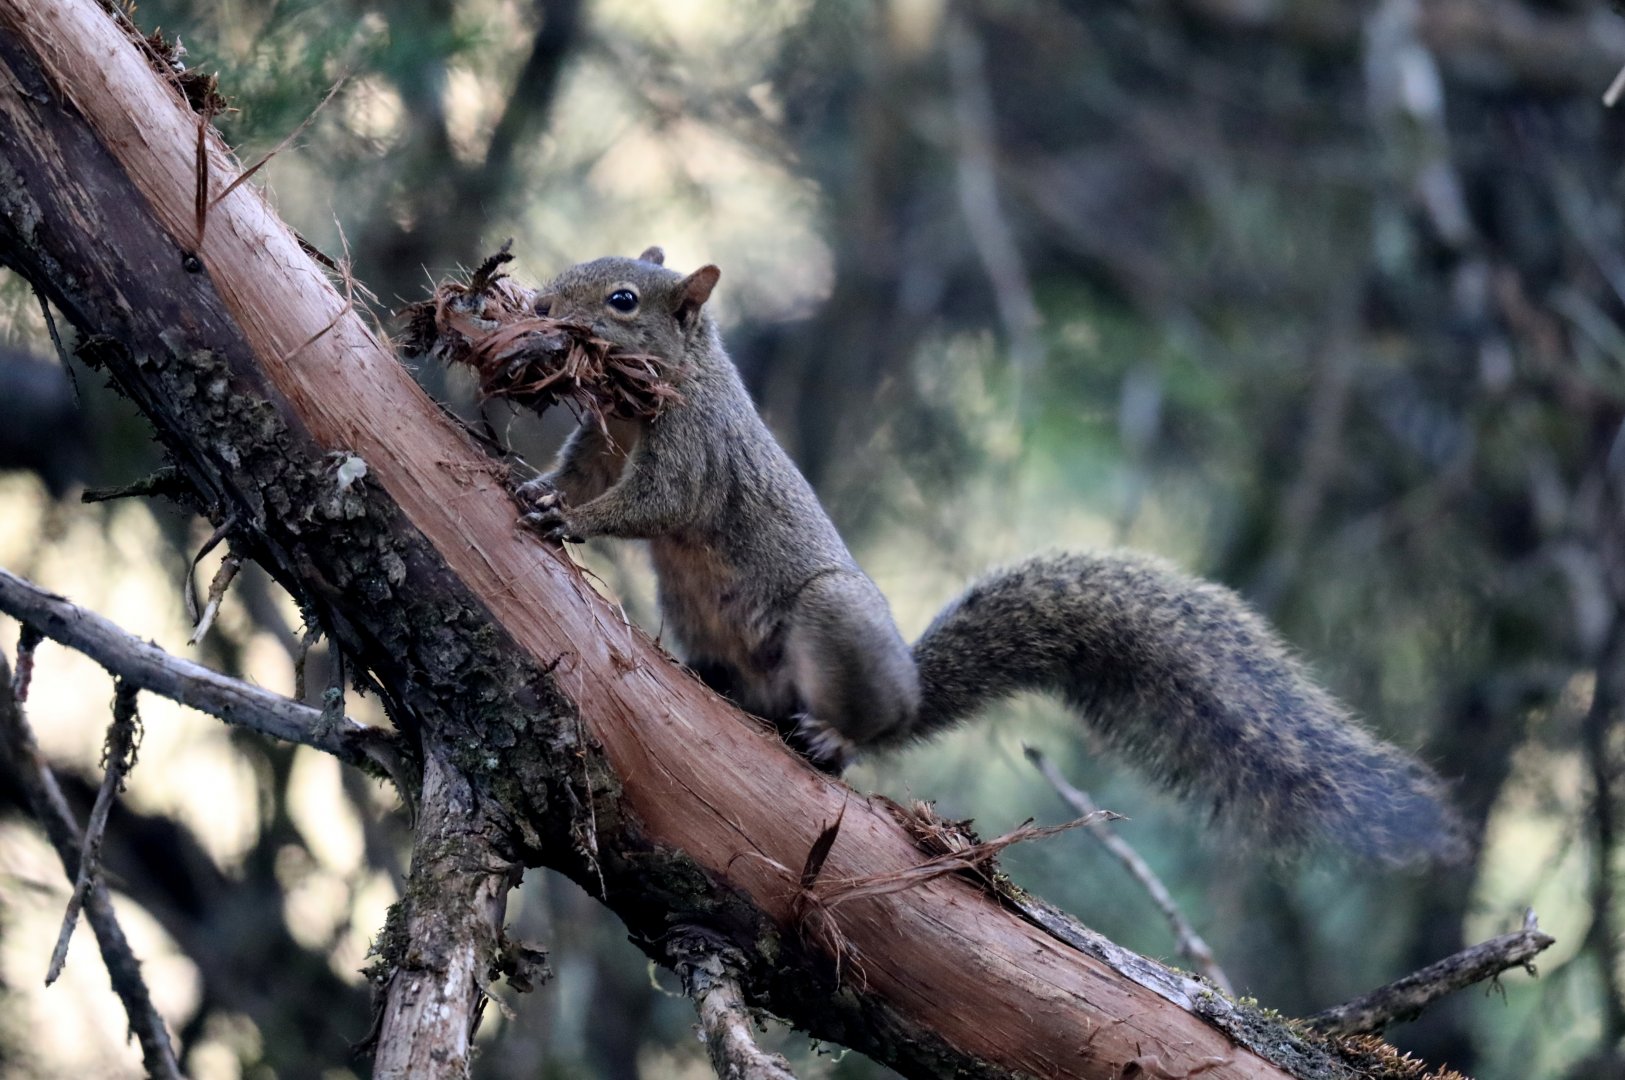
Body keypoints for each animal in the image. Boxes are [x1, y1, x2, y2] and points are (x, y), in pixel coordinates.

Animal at [513, 246, 1467, 864]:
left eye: (622, 300)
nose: (539, 306)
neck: (655, 396)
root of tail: (910, 692)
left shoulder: (696, 455)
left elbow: (650, 504)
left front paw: (572, 520)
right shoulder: (603, 441)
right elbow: (584, 472)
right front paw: (540, 490)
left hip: (831, 620)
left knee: (862, 734)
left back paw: (830, 735)